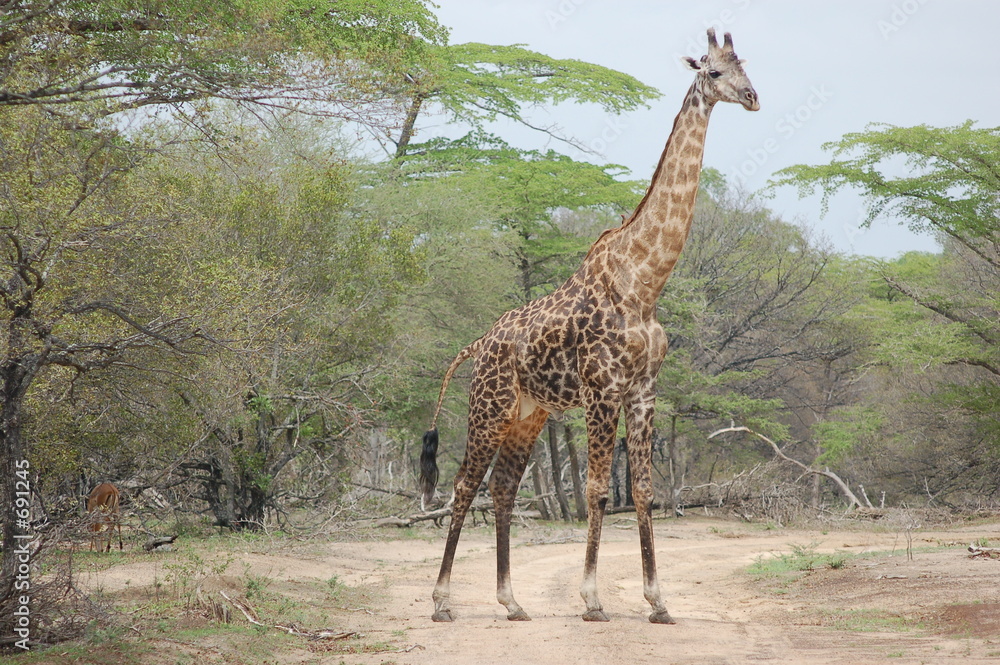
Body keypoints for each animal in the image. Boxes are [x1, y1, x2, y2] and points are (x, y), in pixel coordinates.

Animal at [420, 29, 758, 624]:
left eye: (744, 65)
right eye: (714, 71)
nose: (752, 97)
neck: (644, 282)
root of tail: (478, 343)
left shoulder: (643, 388)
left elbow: (642, 489)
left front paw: (658, 602)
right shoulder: (603, 389)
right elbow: (598, 488)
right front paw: (593, 599)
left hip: (527, 414)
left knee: (503, 488)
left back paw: (512, 602)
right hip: (489, 406)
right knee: (463, 486)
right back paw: (441, 603)